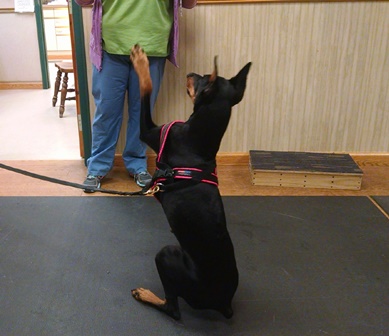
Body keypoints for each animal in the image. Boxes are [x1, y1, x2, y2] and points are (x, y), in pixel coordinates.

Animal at [130, 44, 252, 320]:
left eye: (202, 77)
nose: (190, 72)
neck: (200, 138)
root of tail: (224, 303)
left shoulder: (153, 132)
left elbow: (146, 88)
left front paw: (141, 62)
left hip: (166, 254)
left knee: (173, 309)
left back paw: (146, 295)